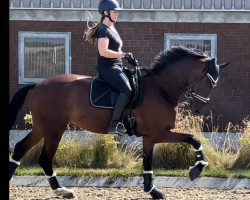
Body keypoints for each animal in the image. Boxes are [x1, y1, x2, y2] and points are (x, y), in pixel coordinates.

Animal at [9, 46, 229, 198]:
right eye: (209, 81)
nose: (199, 110)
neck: (161, 89)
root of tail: (38, 84)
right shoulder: (160, 132)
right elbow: (193, 139)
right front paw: (197, 168)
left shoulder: (150, 136)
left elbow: (148, 161)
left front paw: (152, 190)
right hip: (54, 129)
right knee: (45, 158)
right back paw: (62, 190)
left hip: (43, 127)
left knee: (20, 148)